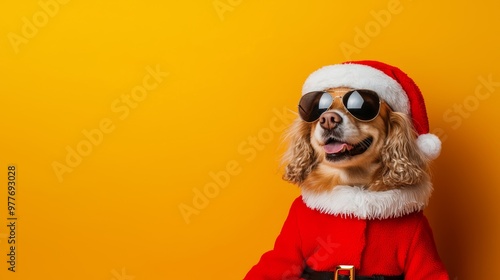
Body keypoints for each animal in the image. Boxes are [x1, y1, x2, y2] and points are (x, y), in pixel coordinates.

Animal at [246, 61, 450, 280]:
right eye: (318, 107)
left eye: (362, 106)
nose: (328, 118)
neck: (353, 186)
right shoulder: (291, 231)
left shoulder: (420, 238)